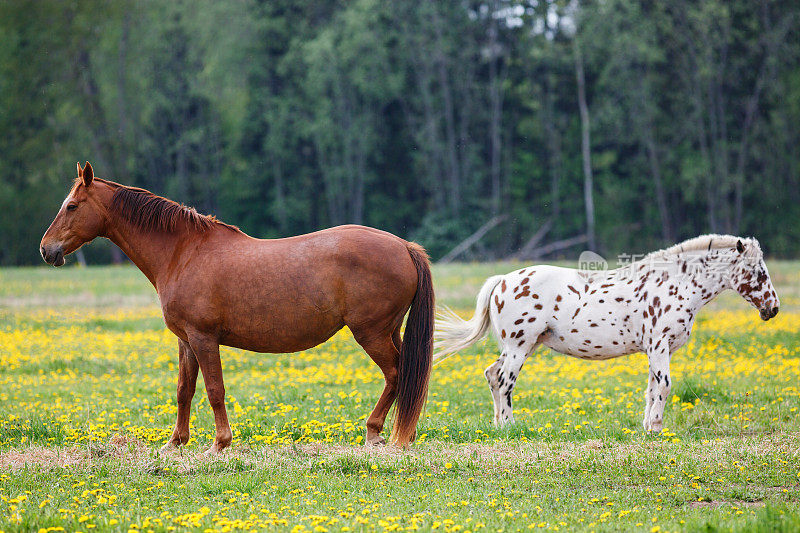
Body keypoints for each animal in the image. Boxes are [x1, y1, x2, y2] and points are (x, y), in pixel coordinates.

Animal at [40, 162, 434, 454]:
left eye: (71, 206)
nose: (46, 250)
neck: (183, 252)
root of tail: (404, 246)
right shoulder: (185, 341)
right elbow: (184, 390)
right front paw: (175, 443)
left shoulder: (203, 338)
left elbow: (215, 390)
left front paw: (219, 443)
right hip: (389, 331)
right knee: (408, 374)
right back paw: (402, 433)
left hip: (371, 333)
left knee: (397, 373)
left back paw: (375, 432)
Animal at [434, 236, 780, 432]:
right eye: (758, 271)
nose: (773, 308)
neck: (675, 284)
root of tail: (503, 280)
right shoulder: (660, 346)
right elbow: (665, 386)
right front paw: (657, 427)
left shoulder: (656, 350)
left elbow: (651, 389)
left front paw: (647, 427)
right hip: (519, 347)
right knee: (504, 380)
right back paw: (508, 425)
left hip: (521, 346)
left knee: (492, 375)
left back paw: (497, 425)